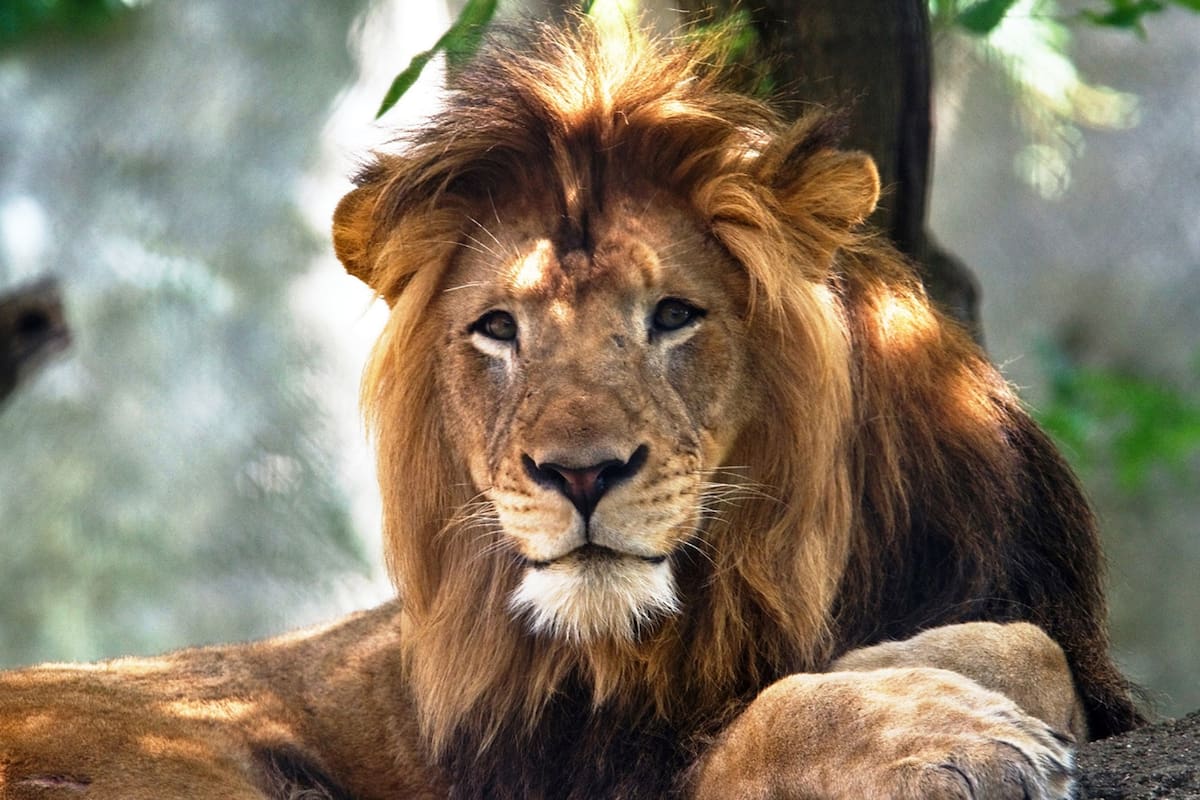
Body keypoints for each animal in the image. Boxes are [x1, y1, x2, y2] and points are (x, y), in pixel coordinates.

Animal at [1, 16, 1141, 800]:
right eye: (498, 328)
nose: (578, 473)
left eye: (674, 314)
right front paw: (940, 731)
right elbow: (771, 716)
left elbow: (1027, 645)